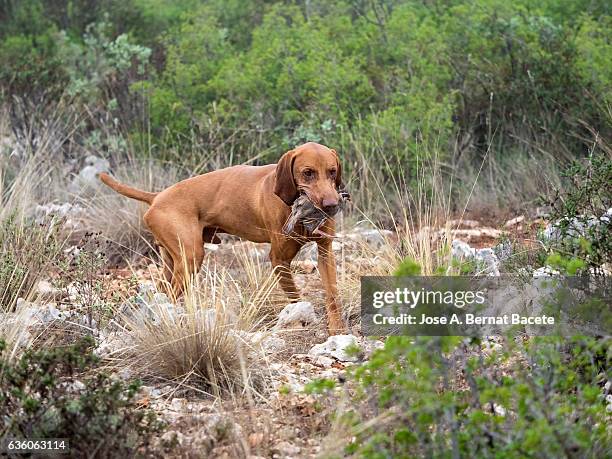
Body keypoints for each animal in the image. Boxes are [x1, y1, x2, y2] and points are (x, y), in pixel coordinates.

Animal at [101, 142, 350, 336]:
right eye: (308, 172)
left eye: (332, 171)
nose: (331, 205)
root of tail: (157, 197)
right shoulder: (279, 259)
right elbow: (295, 296)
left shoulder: (325, 252)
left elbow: (332, 295)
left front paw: (336, 327)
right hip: (190, 259)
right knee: (170, 296)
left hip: (172, 263)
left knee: (161, 294)